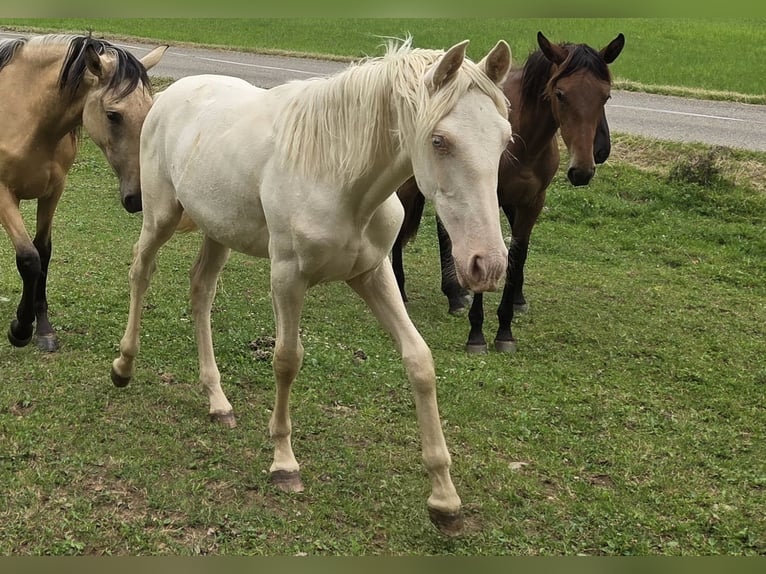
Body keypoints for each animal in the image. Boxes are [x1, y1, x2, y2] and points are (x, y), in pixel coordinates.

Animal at [0, 34, 167, 352]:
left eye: (149, 111)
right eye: (113, 115)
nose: (138, 198)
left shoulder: (53, 191)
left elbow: (43, 253)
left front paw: (43, 328)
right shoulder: (3, 195)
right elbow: (28, 258)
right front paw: (20, 329)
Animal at [109, 38, 513, 535]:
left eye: (505, 139)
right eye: (439, 140)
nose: (486, 265)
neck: (340, 178)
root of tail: (171, 95)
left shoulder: (373, 274)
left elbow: (419, 360)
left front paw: (444, 499)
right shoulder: (287, 277)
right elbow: (286, 360)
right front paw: (284, 463)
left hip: (219, 232)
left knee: (200, 292)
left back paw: (218, 402)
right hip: (160, 218)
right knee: (141, 272)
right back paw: (123, 366)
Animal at [393, 31, 625, 354]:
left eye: (606, 96)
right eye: (561, 94)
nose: (583, 169)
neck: (525, 140)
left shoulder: (531, 203)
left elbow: (518, 254)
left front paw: (506, 324)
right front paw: (477, 333)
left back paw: (456, 294)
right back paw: (402, 289)